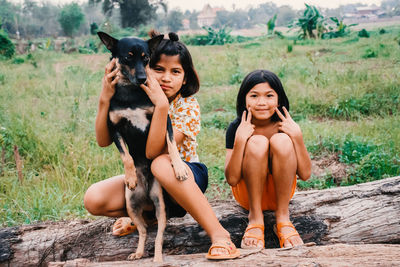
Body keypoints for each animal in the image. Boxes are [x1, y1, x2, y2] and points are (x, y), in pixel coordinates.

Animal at [98, 31, 189, 264]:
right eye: (128, 57)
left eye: (146, 58)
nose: (143, 79)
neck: (131, 91)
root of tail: (147, 194)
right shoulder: (115, 129)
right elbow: (126, 156)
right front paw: (130, 176)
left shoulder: (163, 120)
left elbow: (171, 145)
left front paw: (179, 167)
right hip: (131, 206)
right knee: (143, 231)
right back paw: (138, 252)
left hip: (161, 206)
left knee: (158, 237)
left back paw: (157, 258)